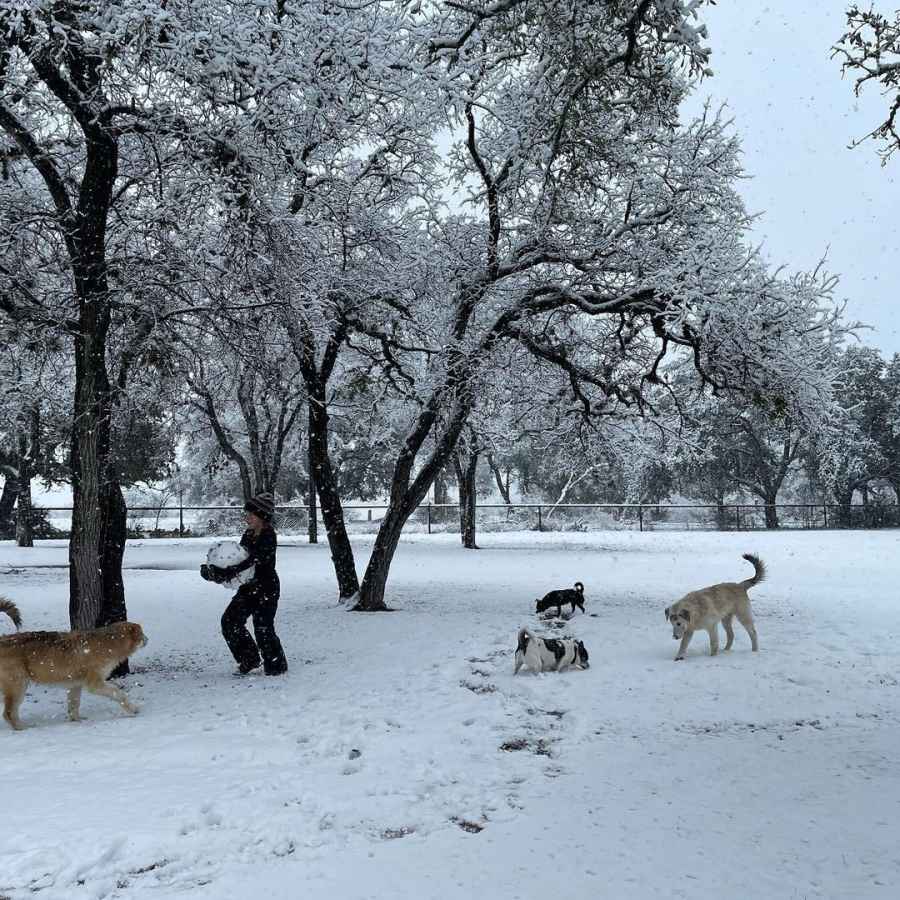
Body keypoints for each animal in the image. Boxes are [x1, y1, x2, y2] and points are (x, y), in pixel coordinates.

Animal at [0, 596, 148, 732]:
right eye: (142, 633)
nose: (147, 639)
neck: (110, 643)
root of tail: (3, 639)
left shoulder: (75, 685)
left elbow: (74, 705)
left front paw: (77, 721)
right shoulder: (94, 684)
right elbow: (118, 693)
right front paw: (133, 709)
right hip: (18, 686)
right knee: (8, 713)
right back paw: (23, 727)